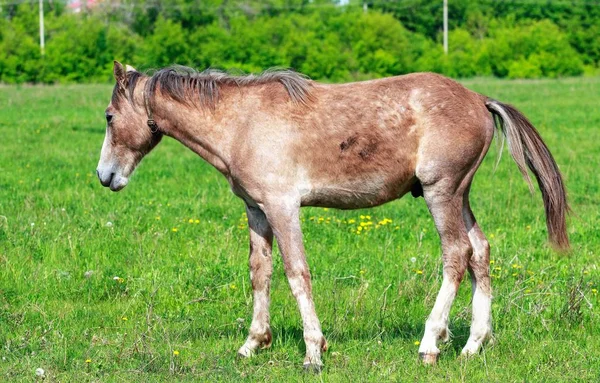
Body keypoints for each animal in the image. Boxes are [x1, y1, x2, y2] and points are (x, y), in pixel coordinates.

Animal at [97, 62, 568, 372]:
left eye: (108, 116)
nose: (105, 176)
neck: (240, 123)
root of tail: (479, 100)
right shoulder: (257, 211)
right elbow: (260, 273)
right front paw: (253, 343)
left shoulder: (283, 208)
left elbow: (296, 273)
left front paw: (313, 352)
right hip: (460, 196)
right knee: (480, 252)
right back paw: (473, 344)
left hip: (442, 193)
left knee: (456, 254)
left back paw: (431, 344)